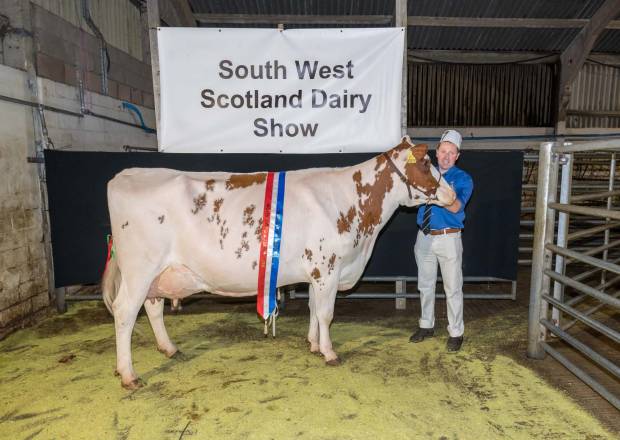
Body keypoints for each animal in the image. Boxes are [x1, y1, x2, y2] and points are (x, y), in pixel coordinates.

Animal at [103, 138, 456, 388]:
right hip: (139, 268)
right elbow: (326, 313)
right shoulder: (328, 267)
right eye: (427, 163)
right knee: (124, 313)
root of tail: (127, 174)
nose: (452, 195)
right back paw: (128, 374)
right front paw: (329, 353)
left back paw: (169, 348)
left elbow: (313, 309)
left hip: (159, 273)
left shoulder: (317, 271)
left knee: (153, 308)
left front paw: (313, 344)